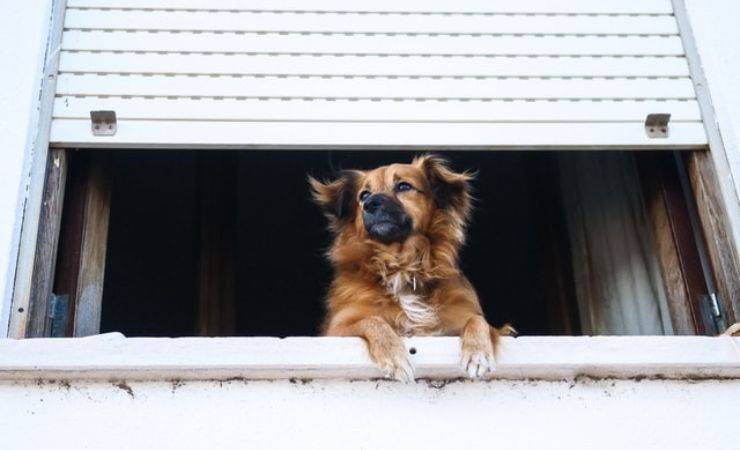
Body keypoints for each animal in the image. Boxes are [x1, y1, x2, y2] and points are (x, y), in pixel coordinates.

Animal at [310, 154, 512, 380]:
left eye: (404, 186)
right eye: (364, 195)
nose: (369, 204)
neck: (402, 264)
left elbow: (479, 321)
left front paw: (478, 353)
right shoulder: (335, 330)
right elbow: (373, 320)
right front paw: (394, 357)